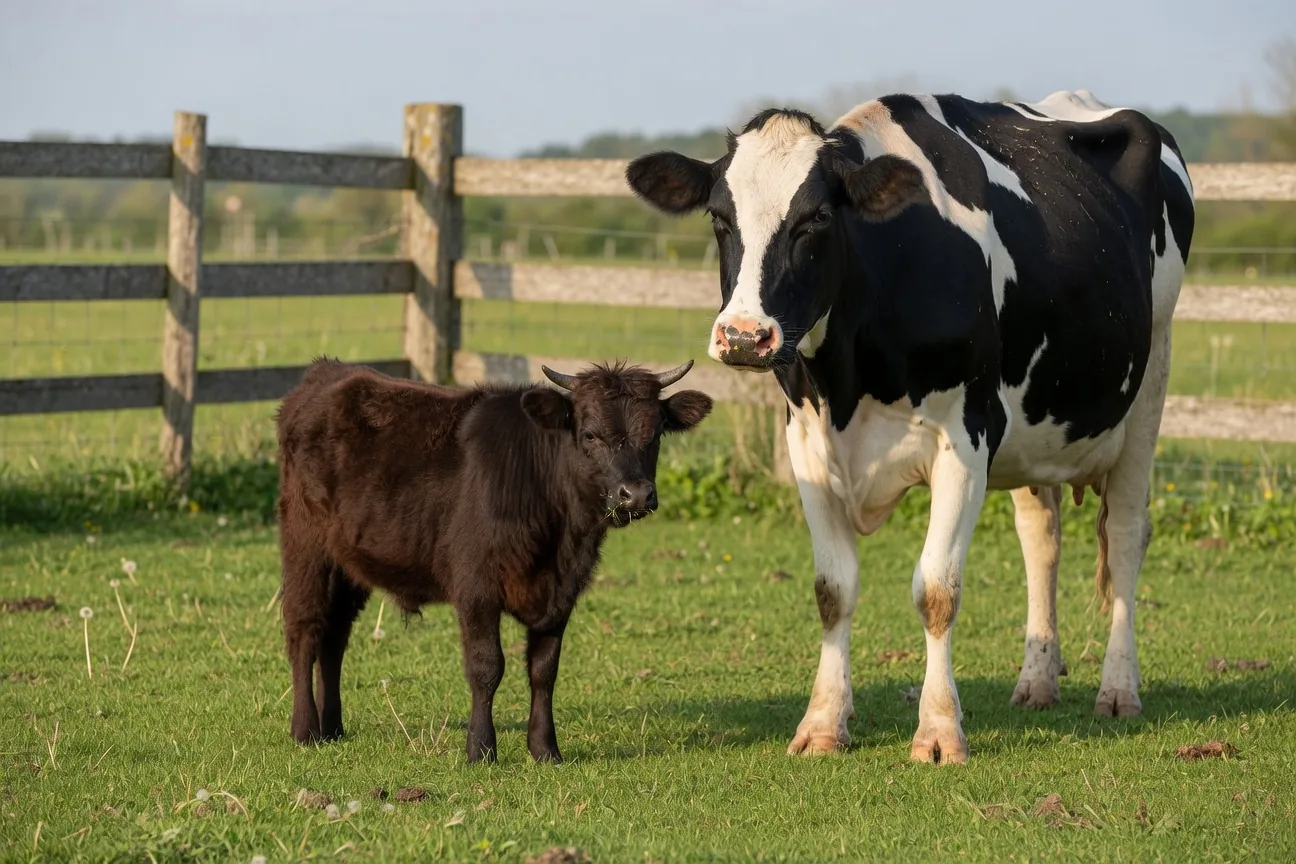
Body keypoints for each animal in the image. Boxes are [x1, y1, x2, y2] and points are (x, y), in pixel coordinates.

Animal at [275, 358, 713, 763]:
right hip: (305, 548)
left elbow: (544, 671)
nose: (635, 495)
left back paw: (333, 726)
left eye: (655, 434)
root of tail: (327, 371)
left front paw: (545, 749)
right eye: (590, 433)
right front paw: (481, 749)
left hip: (349, 566)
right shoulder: (476, 589)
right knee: (305, 630)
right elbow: (487, 667)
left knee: (335, 637)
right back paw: (305, 730)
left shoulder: (561, 595)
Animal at [626, 89, 1195, 763]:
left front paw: (940, 730)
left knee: (1128, 535)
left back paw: (1118, 690)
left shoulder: (965, 440)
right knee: (1041, 537)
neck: (850, 379)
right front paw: (822, 723)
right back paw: (1036, 680)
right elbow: (833, 589)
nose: (743, 336)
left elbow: (937, 589)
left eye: (817, 218)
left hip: (1149, 386)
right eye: (719, 218)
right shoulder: (807, 446)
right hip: (1037, 426)